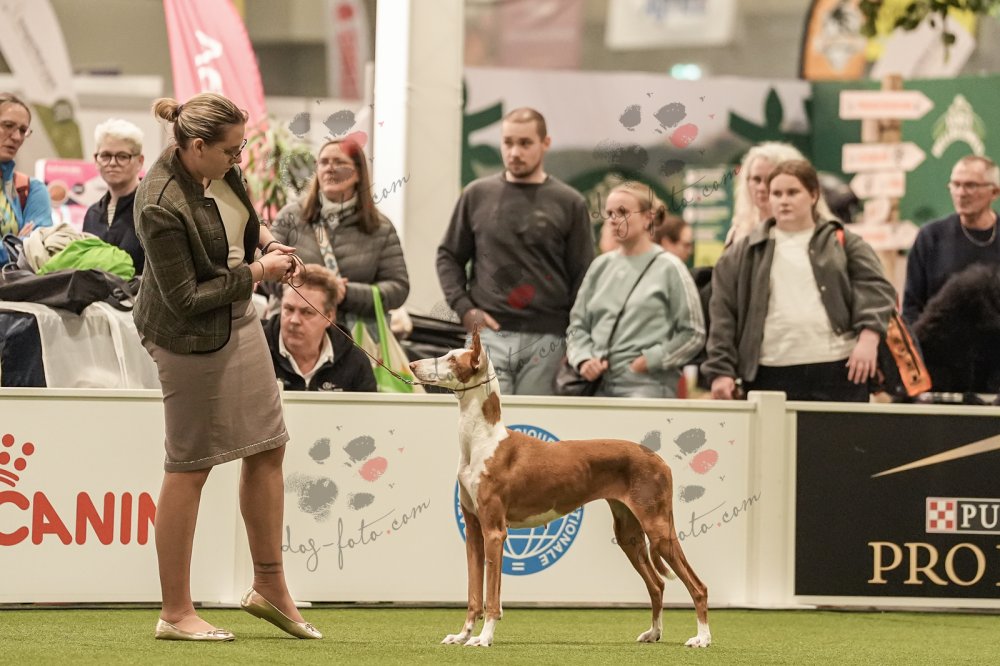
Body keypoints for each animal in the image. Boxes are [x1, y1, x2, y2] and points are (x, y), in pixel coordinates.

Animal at [408, 331, 711, 648]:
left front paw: (484, 637)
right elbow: (474, 595)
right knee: (657, 584)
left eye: (453, 359)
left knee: (698, 586)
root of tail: (657, 457)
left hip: (659, 529)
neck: (483, 440)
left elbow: (491, 596)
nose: (413, 365)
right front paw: (464, 634)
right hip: (629, 534)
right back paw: (654, 632)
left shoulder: (494, 532)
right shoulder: (474, 532)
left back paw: (702, 638)